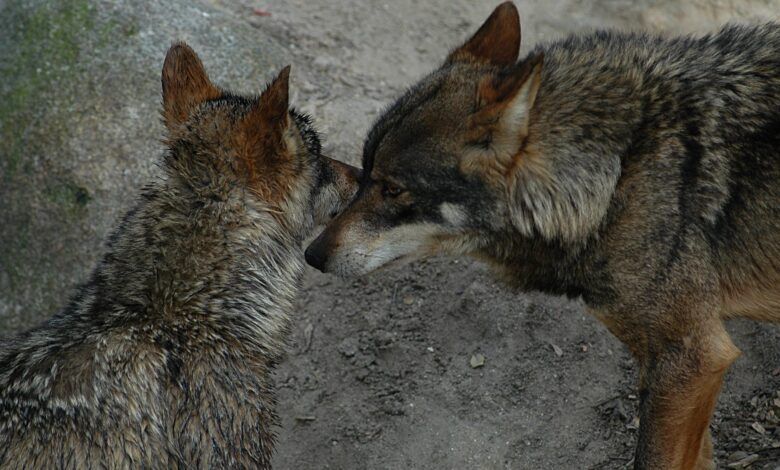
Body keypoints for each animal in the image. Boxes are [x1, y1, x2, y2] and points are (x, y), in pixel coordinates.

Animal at [305, 2, 780, 469]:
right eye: (365, 172)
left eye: (392, 189)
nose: (312, 255)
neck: (619, 175)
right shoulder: (673, 368)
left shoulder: (692, 358)